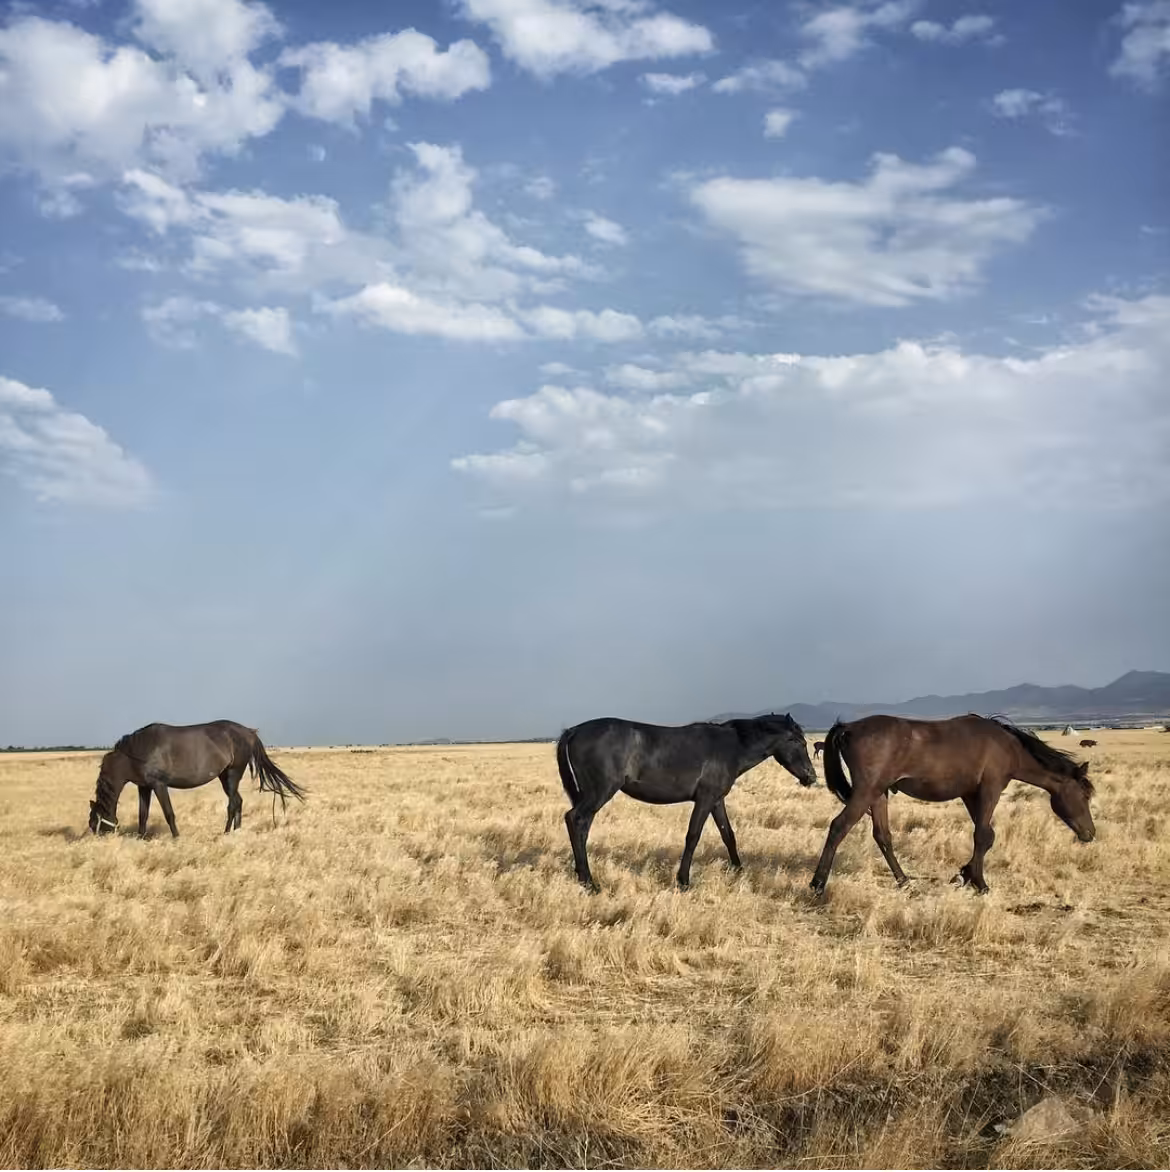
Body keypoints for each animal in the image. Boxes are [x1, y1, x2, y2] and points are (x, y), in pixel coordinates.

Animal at [88, 721, 305, 837]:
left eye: (93, 824)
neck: (135, 752)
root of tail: (248, 733)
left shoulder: (159, 785)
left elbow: (169, 813)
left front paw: (176, 838)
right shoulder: (144, 787)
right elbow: (143, 815)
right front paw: (141, 839)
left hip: (233, 774)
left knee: (233, 804)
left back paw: (226, 833)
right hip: (225, 777)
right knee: (238, 802)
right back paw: (236, 832)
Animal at [556, 713, 817, 892]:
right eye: (799, 742)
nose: (811, 776)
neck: (731, 747)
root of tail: (574, 731)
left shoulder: (716, 800)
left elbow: (728, 835)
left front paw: (739, 871)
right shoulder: (705, 799)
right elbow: (693, 836)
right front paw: (683, 881)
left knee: (581, 827)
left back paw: (582, 875)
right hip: (598, 793)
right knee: (575, 820)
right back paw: (589, 882)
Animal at [809, 714, 1095, 895]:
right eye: (1086, 795)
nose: (1090, 834)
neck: (1007, 746)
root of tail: (848, 728)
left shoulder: (969, 794)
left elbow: (987, 836)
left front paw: (966, 873)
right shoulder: (990, 790)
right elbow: (982, 836)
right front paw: (979, 882)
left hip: (878, 794)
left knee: (882, 836)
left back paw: (904, 881)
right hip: (866, 792)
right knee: (839, 827)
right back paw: (818, 884)